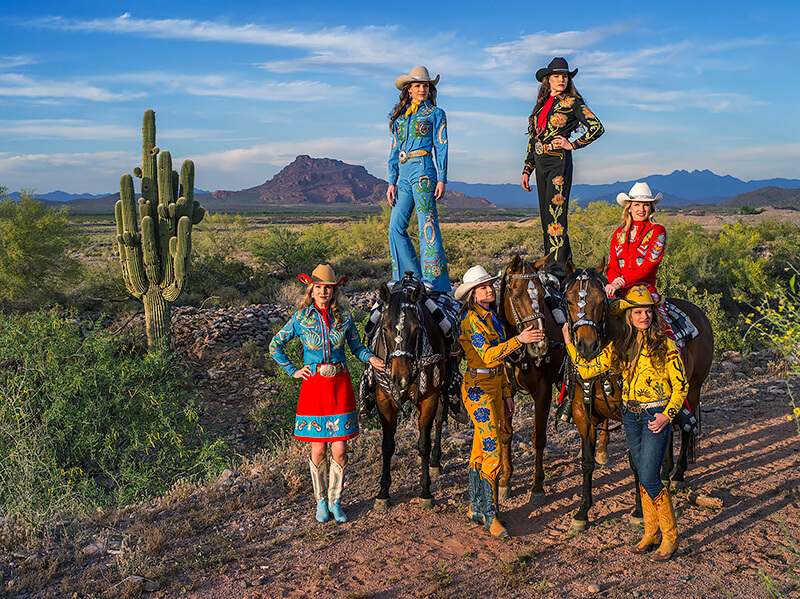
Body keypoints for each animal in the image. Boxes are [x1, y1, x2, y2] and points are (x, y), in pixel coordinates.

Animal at [370, 278, 446, 510]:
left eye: (416, 328)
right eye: (384, 328)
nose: (401, 379)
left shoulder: (429, 398)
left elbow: (423, 444)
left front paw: (425, 491)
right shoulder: (384, 401)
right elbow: (387, 446)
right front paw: (383, 492)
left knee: (440, 418)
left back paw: (436, 461)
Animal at [496, 255, 564, 504]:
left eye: (542, 294)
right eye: (515, 295)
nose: (540, 345)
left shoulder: (543, 391)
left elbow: (539, 438)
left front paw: (537, 487)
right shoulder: (505, 390)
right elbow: (506, 435)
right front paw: (505, 481)